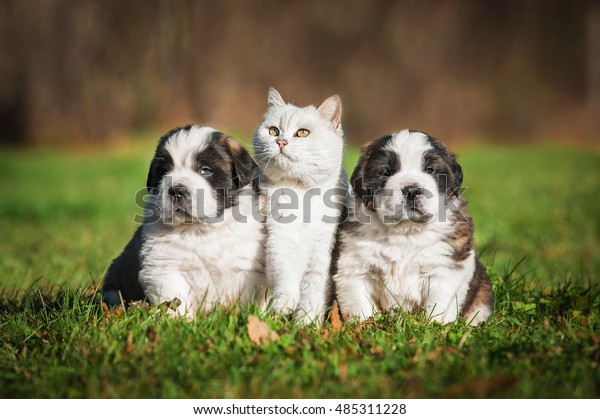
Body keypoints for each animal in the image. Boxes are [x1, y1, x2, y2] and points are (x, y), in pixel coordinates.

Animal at [102, 125, 266, 318]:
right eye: (164, 171)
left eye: (205, 170)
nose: (176, 191)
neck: (202, 229)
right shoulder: (164, 267)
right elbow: (175, 299)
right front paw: (179, 321)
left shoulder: (248, 267)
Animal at [253, 88, 346, 324]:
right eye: (273, 131)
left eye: (302, 133)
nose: (281, 142)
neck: (303, 195)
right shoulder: (281, 239)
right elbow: (286, 274)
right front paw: (284, 305)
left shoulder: (322, 253)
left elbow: (313, 293)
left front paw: (306, 324)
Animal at [332, 130, 492, 326]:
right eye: (386, 172)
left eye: (430, 170)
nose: (412, 190)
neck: (406, 230)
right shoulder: (355, 267)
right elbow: (360, 304)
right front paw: (364, 325)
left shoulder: (443, 269)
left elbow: (437, 305)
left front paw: (433, 326)